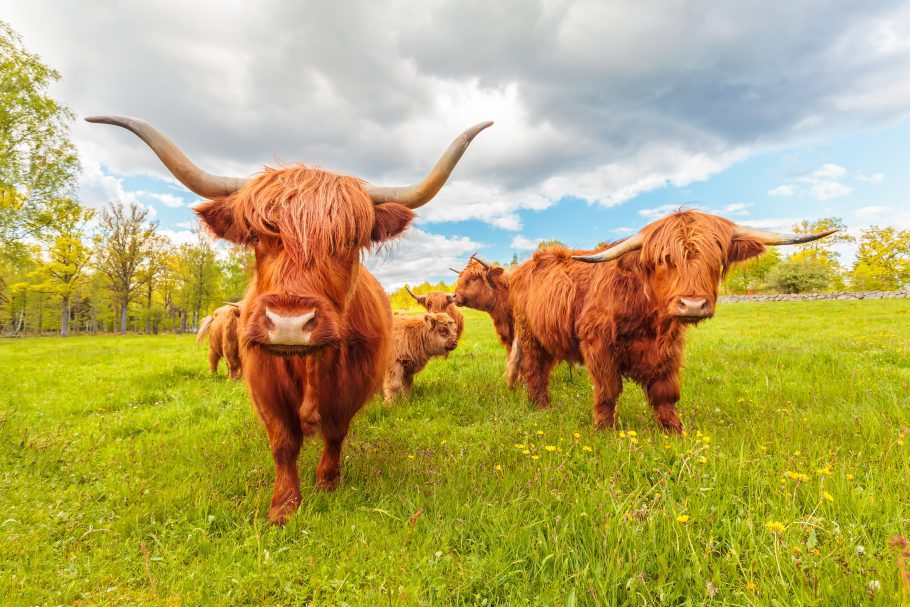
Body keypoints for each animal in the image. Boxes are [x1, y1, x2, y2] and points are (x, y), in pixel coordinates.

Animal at [87, 116, 492, 524]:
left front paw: (327, 483)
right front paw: (283, 507)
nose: (289, 324)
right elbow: (283, 443)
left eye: (349, 241)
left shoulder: (353, 384)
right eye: (255, 234)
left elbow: (335, 432)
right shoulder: (264, 384)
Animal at [510, 211, 836, 434]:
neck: (650, 319)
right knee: (534, 370)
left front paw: (673, 433)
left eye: (714, 258)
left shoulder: (669, 348)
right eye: (664, 260)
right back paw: (541, 407)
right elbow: (607, 390)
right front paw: (604, 431)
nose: (692, 304)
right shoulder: (597, 343)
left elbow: (666, 393)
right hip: (528, 335)